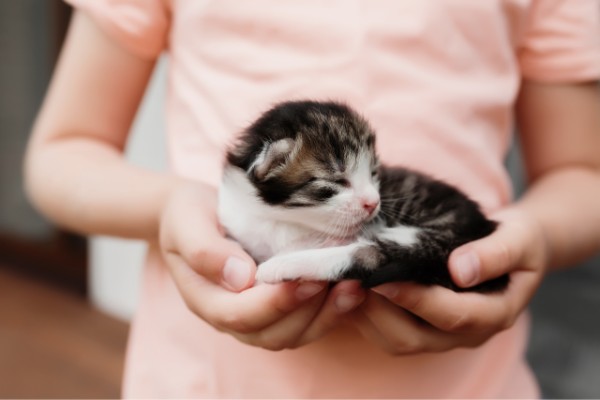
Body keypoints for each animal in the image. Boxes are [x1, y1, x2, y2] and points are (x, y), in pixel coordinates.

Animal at [218, 100, 508, 290]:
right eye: (338, 181)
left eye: (373, 173)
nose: (374, 203)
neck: (279, 218)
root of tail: (483, 226)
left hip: (439, 236)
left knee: (370, 255)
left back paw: (285, 265)